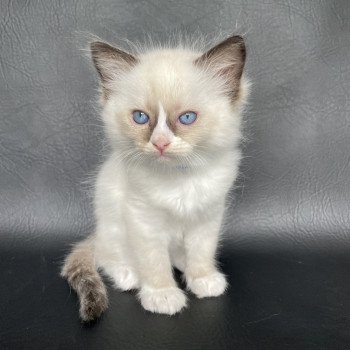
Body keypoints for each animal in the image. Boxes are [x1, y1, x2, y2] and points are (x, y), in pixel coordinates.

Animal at [62, 34, 249, 322]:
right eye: (141, 117)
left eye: (187, 118)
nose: (160, 143)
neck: (180, 178)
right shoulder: (144, 220)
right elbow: (154, 262)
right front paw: (162, 296)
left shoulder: (208, 215)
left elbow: (202, 252)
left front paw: (203, 280)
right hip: (112, 225)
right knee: (107, 256)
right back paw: (128, 276)